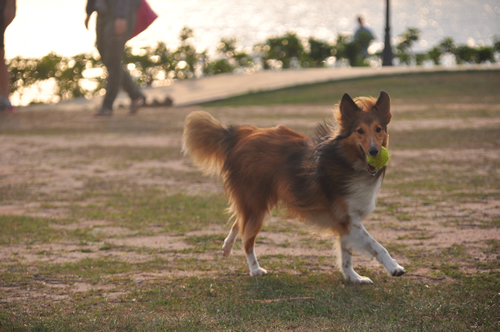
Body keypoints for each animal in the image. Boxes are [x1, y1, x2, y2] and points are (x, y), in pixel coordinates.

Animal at [182, 92, 404, 284]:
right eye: (360, 131)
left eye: (379, 129)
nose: (374, 152)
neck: (346, 162)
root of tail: (240, 134)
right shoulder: (347, 218)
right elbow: (376, 246)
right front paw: (394, 267)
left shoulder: (345, 220)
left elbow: (346, 254)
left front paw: (353, 278)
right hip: (257, 205)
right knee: (247, 239)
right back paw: (255, 269)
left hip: (253, 203)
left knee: (239, 222)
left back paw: (226, 248)